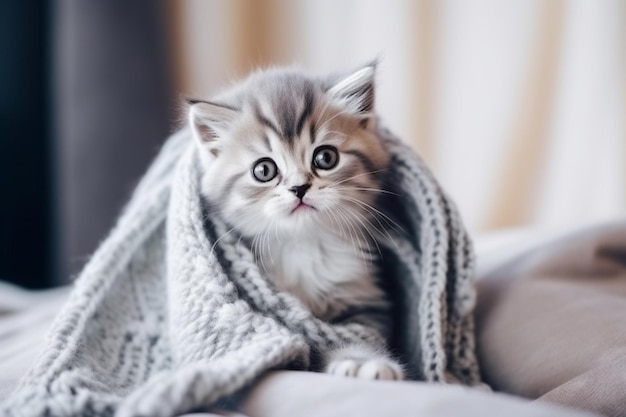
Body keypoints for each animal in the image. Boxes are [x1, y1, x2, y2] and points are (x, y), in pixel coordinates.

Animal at [185, 63, 402, 378]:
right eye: (264, 170)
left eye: (325, 157)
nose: (299, 188)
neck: (304, 246)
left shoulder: (363, 303)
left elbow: (359, 335)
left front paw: (365, 361)